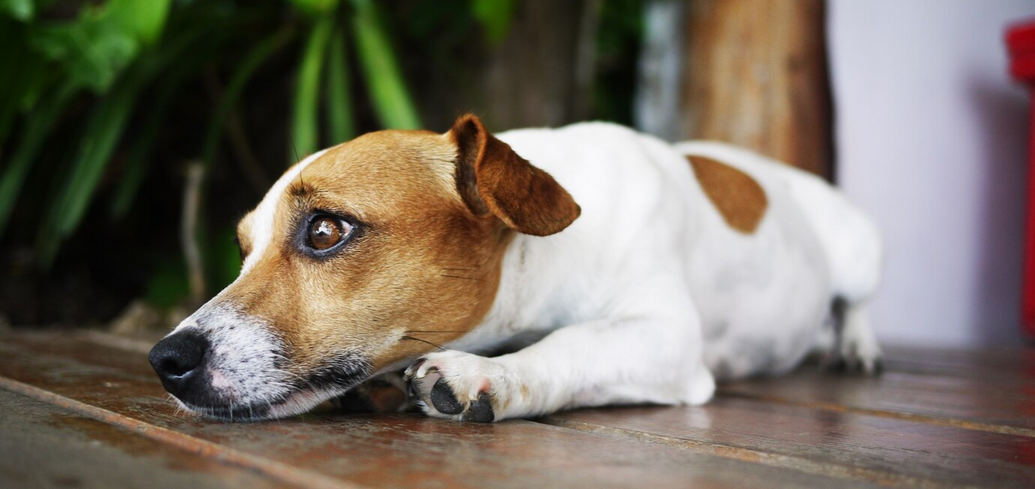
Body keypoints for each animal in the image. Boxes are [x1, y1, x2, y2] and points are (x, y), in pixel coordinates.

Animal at [148, 115, 881, 424]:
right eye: (243, 248)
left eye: (326, 230)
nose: (165, 359)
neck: (537, 251)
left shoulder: (664, 334)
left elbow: (572, 344)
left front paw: (488, 375)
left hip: (858, 250)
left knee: (855, 302)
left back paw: (857, 346)